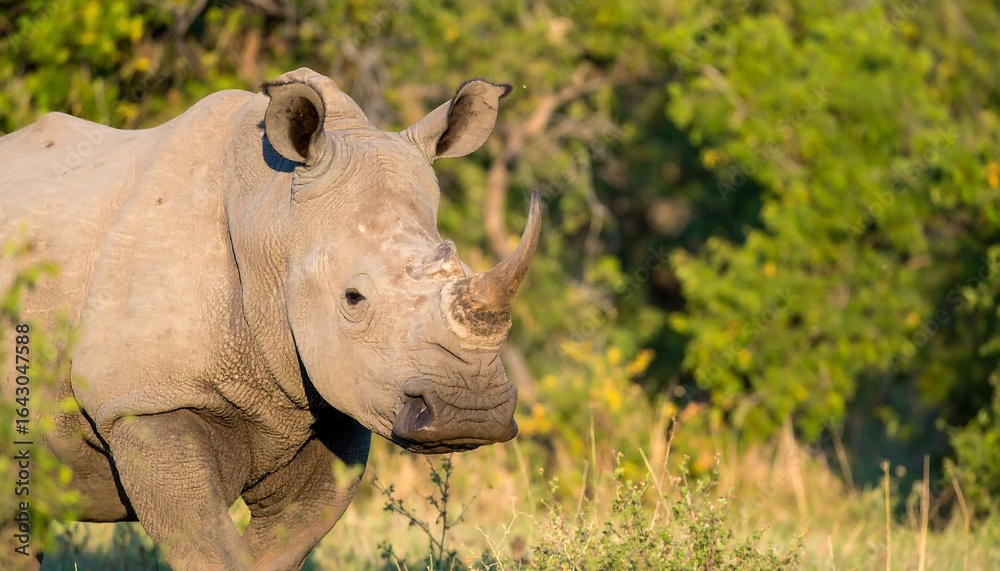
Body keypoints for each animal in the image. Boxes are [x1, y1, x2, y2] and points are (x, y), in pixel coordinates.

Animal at [0, 67, 539, 570]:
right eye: (353, 298)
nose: (471, 411)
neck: (273, 222)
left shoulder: (335, 404)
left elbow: (283, 545)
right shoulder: (145, 399)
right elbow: (210, 550)